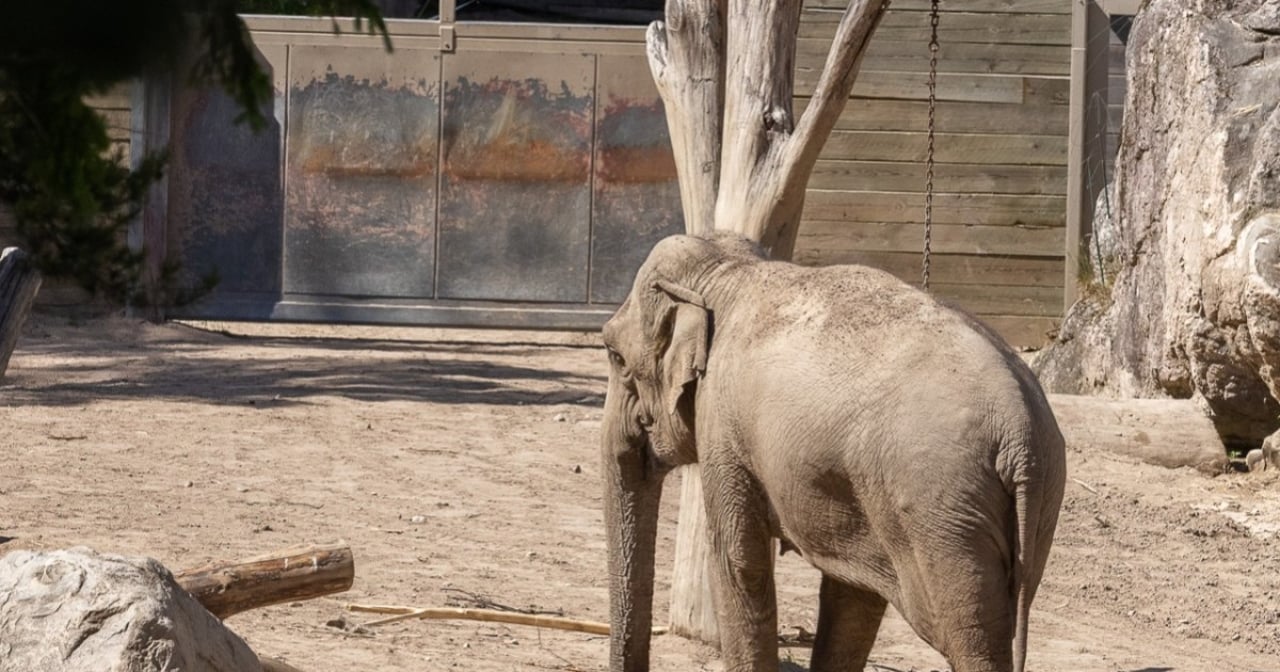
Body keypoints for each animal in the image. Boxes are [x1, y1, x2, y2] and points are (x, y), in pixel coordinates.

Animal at [599, 234, 1070, 670]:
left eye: (615, 356)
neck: (727, 271)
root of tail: (1019, 429)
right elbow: (853, 596)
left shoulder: (723, 425)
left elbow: (740, 564)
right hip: (1036, 501)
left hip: (942, 511)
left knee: (967, 635)